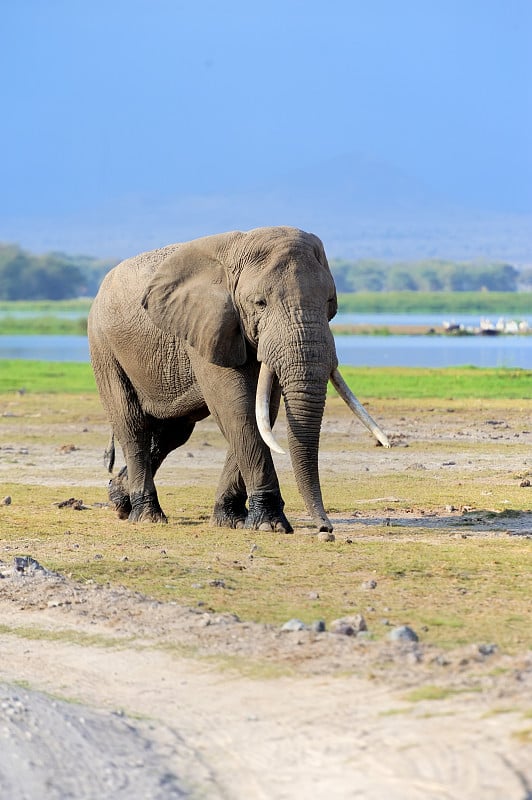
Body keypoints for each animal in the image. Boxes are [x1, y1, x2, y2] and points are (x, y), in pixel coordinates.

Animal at [86, 225, 386, 536]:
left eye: (330, 304)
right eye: (260, 303)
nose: (325, 529)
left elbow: (262, 410)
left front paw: (231, 520)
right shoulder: (209, 323)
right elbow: (237, 408)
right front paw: (269, 525)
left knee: (173, 433)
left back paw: (119, 500)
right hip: (103, 345)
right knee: (132, 425)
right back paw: (147, 516)